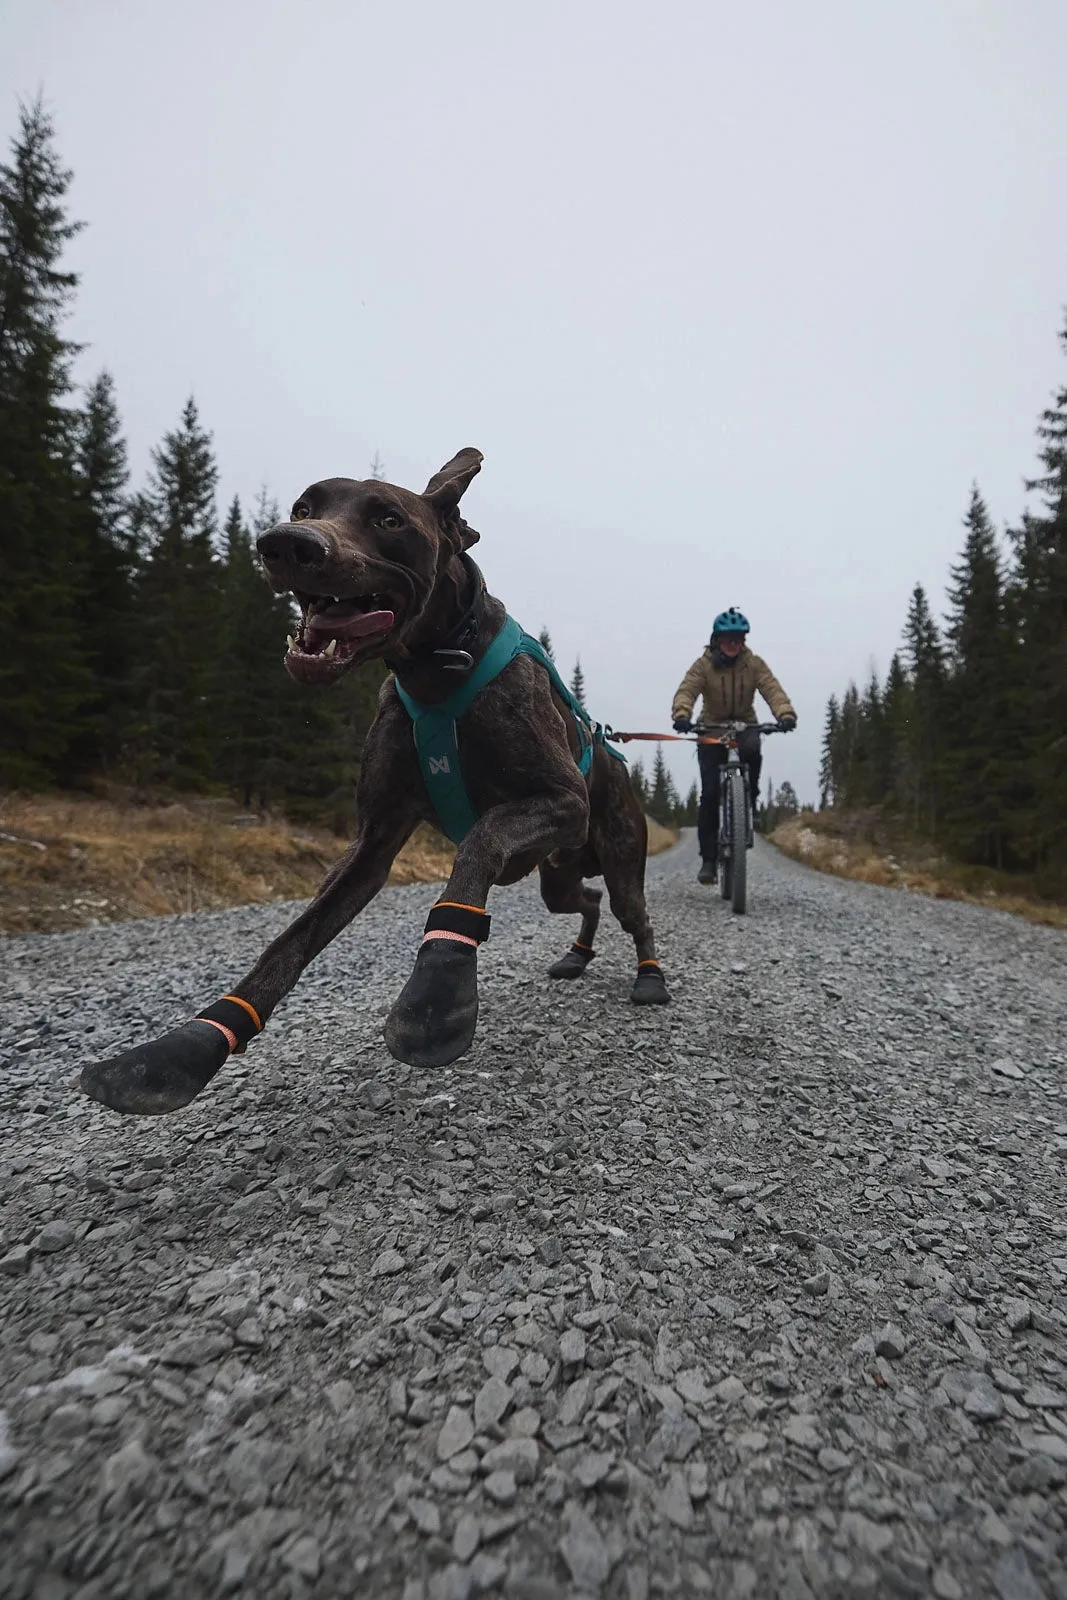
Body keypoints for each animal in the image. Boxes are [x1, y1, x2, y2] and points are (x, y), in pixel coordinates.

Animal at [81, 444, 668, 1120]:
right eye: (302, 507)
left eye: (389, 519)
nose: (287, 544)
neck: (437, 667)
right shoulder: (373, 842)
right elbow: (289, 941)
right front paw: (188, 1046)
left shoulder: (561, 800)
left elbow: (482, 840)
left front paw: (438, 988)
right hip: (558, 875)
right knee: (587, 901)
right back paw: (576, 955)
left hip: (614, 851)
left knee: (632, 912)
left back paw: (650, 975)